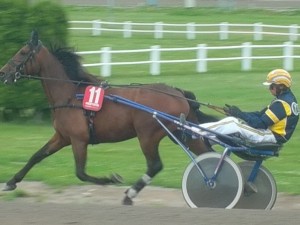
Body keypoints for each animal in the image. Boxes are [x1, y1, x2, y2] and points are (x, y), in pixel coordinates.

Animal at [0, 31, 216, 206]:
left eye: (22, 52)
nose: (2, 73)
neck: (71, 95)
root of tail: (178, 93)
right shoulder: (62, 137)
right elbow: (36, 156)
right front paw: (11, 182)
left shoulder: (79, 140)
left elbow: (80, 173)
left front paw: (111, 179)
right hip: (181, 133)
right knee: (205, 154)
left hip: (148, 135)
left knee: (155, 165)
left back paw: (130, 194)